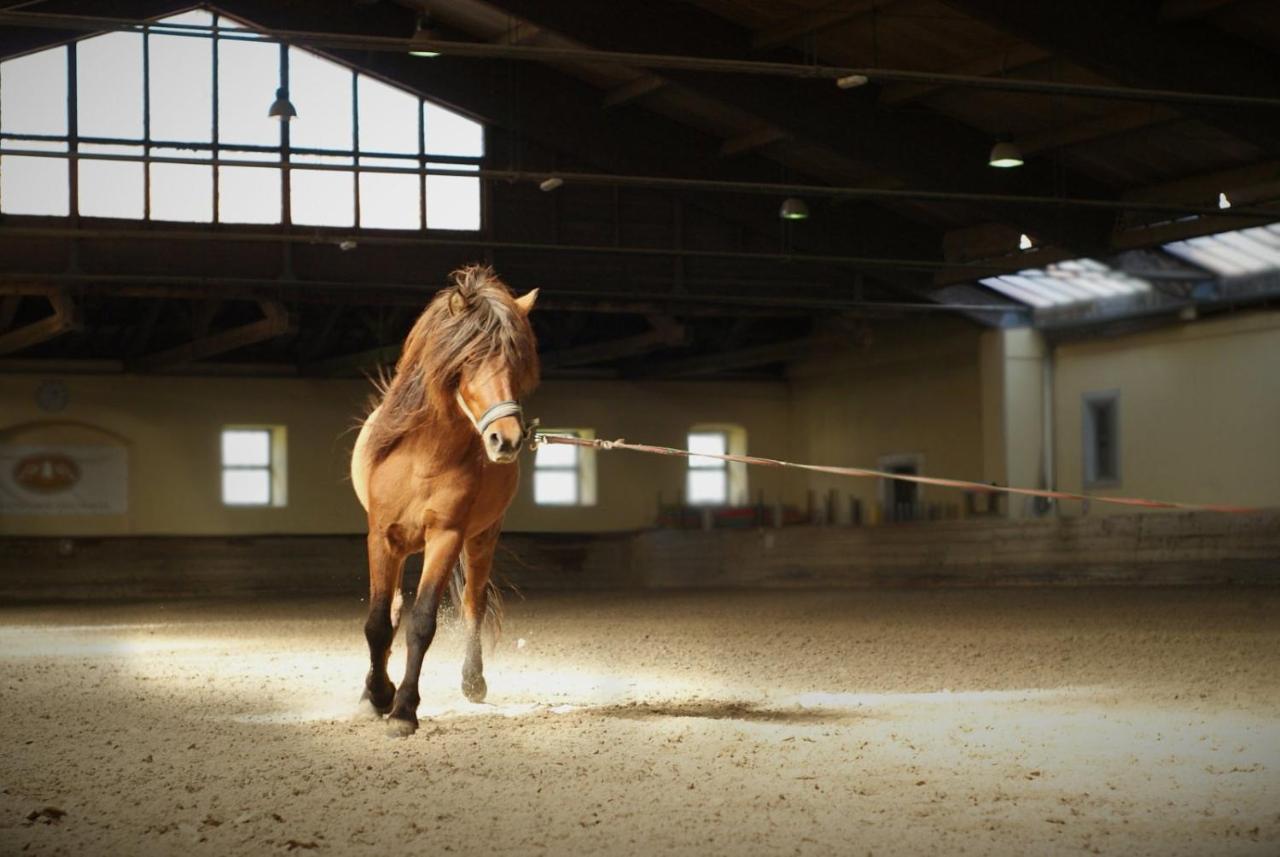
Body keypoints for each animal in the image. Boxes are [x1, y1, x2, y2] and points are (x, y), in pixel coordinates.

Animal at [350, 267, 540, 736]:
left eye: (515, 363)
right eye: (468, 358)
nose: (506, 439)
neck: (425, 457)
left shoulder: (447, 536)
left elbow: (422, 623)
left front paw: (403, 709)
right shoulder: (381, 536)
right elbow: (379, 623)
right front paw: (377, 696)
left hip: (481, 539)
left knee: (473, 603)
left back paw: (473, 682)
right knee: (393, 610)